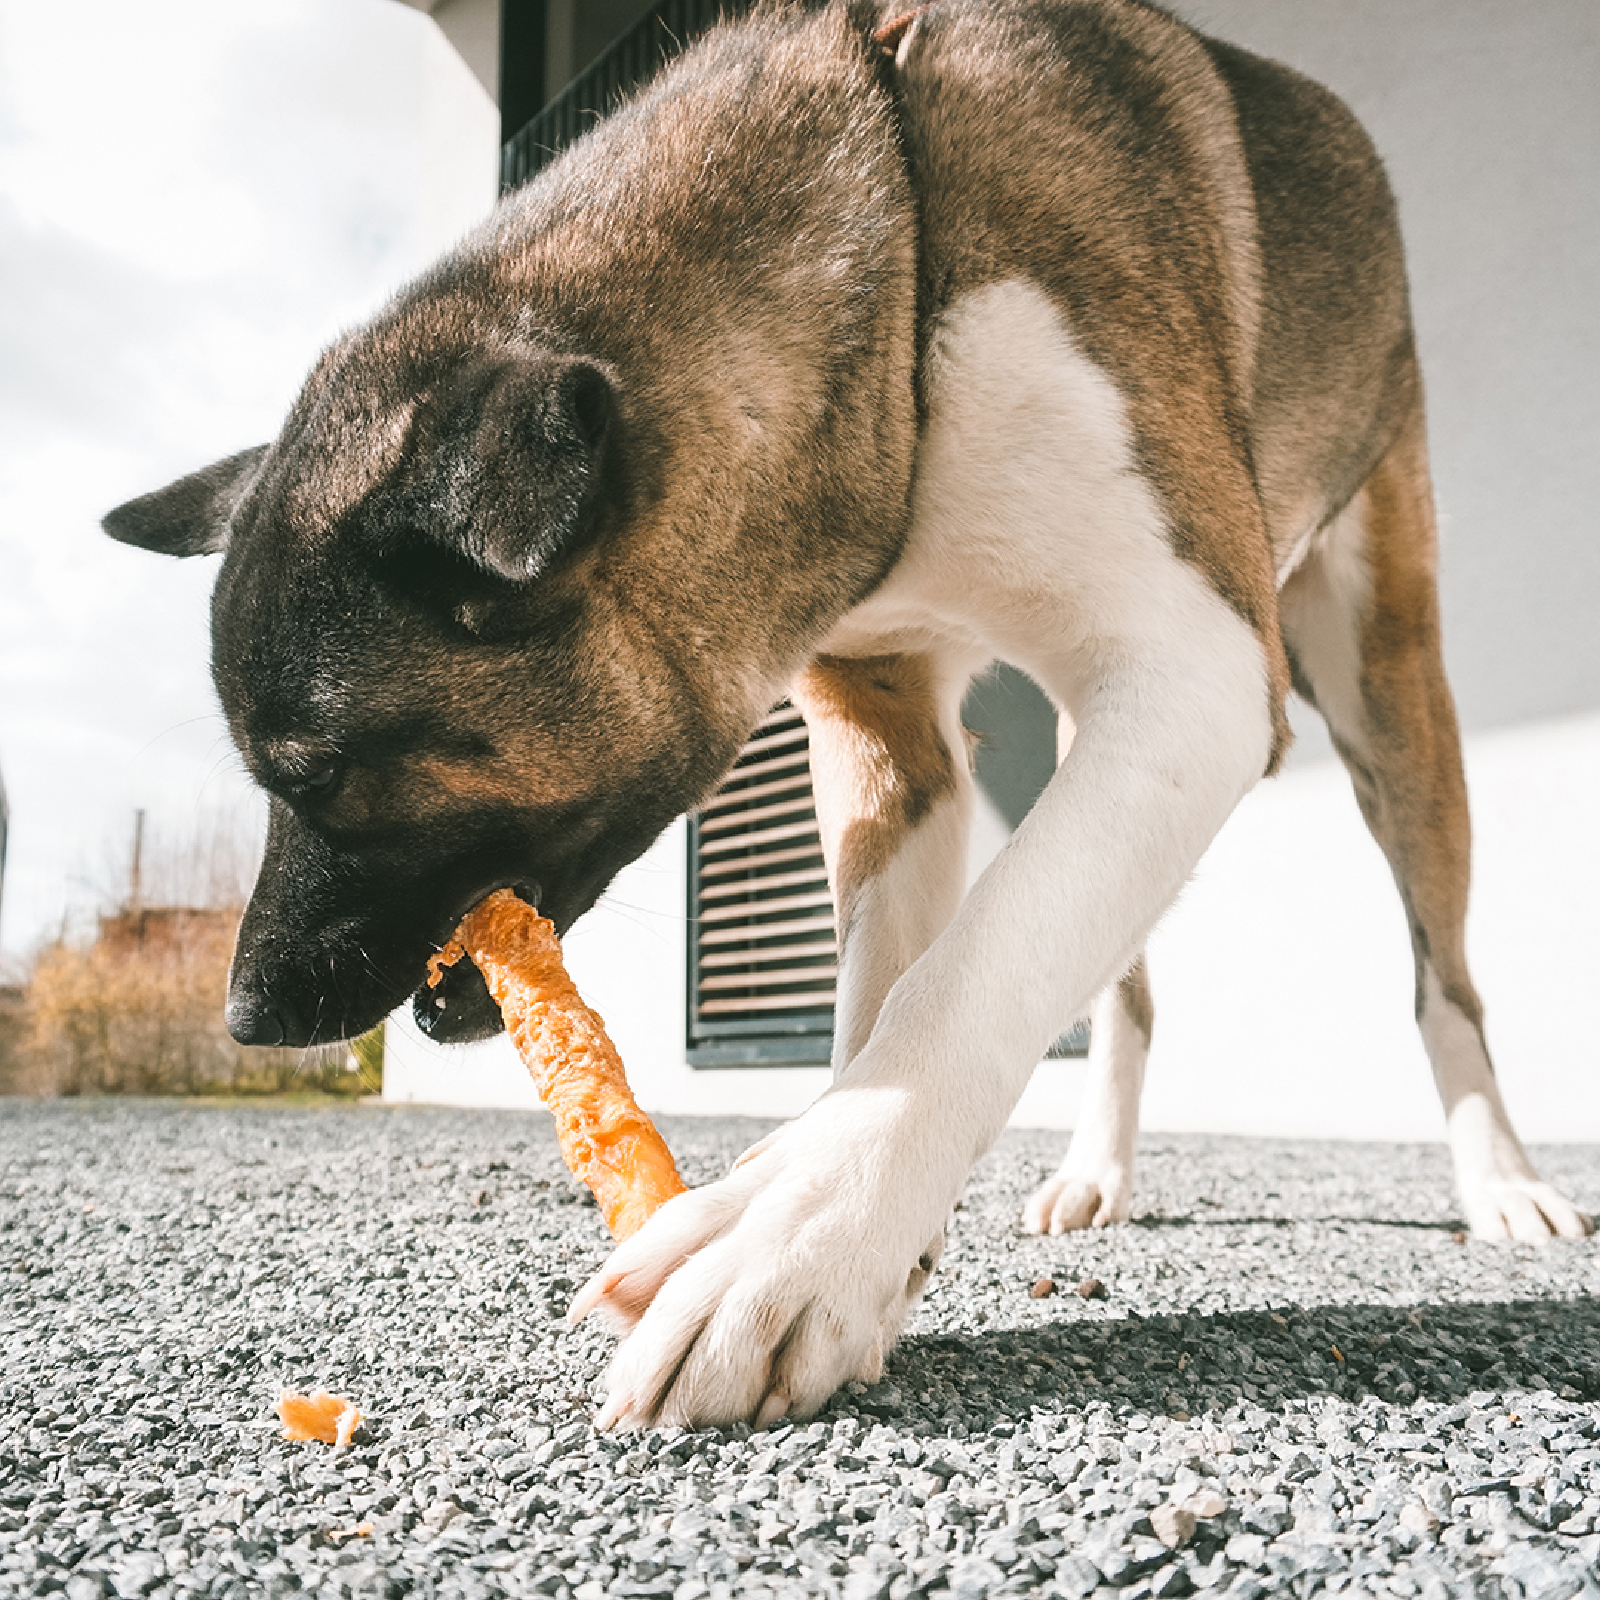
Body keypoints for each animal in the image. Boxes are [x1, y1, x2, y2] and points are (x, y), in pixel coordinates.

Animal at [103, 0, 1587, 1427]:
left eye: (317, 774)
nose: (242, 1016)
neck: (901, 244)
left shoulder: (1199, 679)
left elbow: (971, 972)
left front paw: (789, 1234)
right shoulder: (892, 739)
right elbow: (886, 993)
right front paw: (853, 1232)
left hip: (1391, 693)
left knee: (1441, 975)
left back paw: (1499, 1179)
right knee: (1127, 979)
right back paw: (1096, 1171)